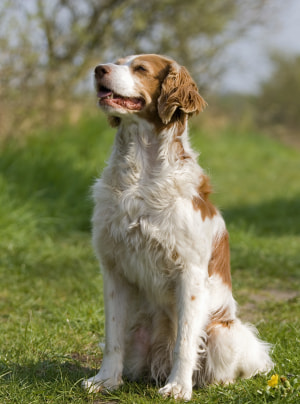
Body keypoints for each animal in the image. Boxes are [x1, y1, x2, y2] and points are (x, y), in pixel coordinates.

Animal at [82, 54, 274, 400]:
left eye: (140, 68)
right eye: (117, 61)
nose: (98, 69)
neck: (141, 172)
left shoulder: (190, 272)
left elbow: (184, 341)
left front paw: (178, 388)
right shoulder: (113, 269)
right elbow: (112, 337)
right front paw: (105, 381)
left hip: (223, 333)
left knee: (226, 368)